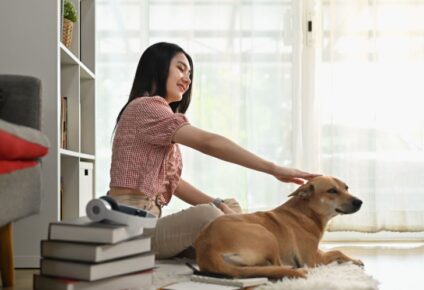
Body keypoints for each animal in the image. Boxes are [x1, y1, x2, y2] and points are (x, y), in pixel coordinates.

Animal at [195, 174, 364, 278]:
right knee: (278, 265)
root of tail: (208, 250)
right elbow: (336, 251)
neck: (306, 212)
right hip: (266, 235)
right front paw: (353, 261)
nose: (360, 201)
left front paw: (354, 261)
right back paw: (293, 269)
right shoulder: (312, 259)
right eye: (332, 190)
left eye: (346, 187)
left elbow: (336, 251)